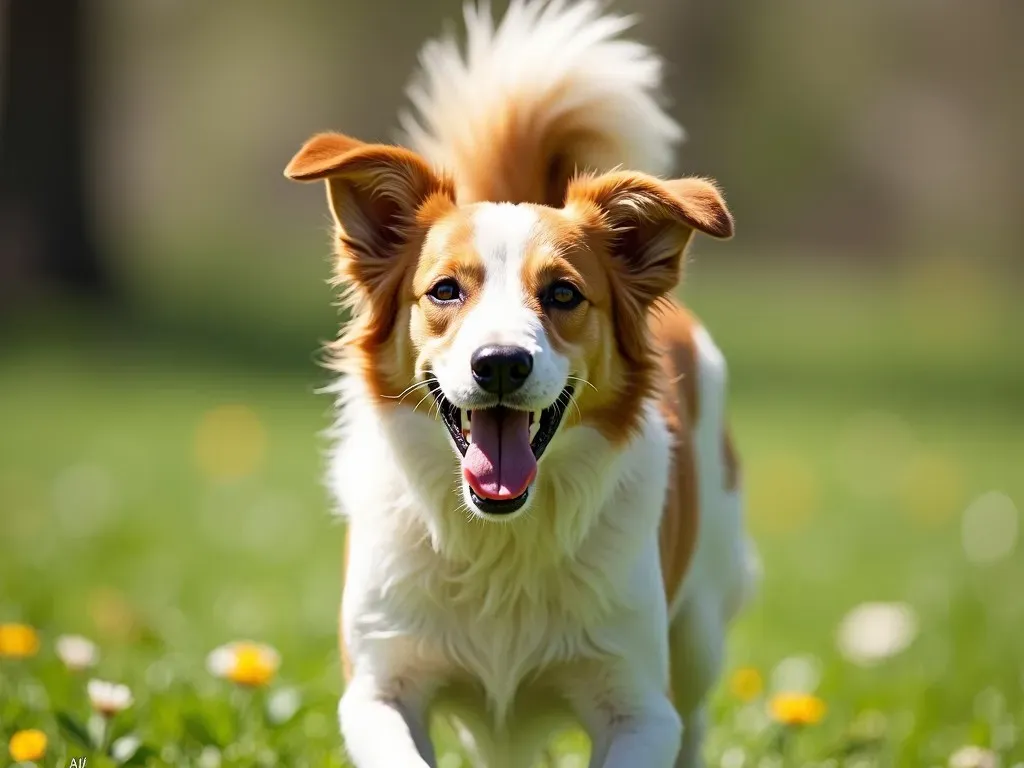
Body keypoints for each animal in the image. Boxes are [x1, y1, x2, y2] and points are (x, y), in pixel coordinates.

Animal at [284, 1, 757, 768]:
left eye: (563, 294)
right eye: (445, 289)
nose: (501, 362)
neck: (500, 541)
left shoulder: (640, 708)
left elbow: (653, 719)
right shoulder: (378, 687)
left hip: (700, 631)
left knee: (696, 714)